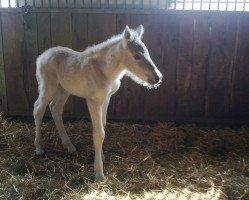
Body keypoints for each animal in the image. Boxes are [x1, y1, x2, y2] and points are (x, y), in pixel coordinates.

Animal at [33, 24, 163, 180]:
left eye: (147, 53)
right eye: (137, 56)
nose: (157, 77)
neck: (104, 71)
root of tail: (42, 56)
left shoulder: (106, 99)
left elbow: (103, 125)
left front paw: (101, 157)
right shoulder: (93, 101)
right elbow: (99, 133)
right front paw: (99, 173)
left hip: (64, 89)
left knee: (55, 108)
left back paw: (69, 145)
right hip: (48, 87)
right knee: (38, 109)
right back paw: (39, 147)